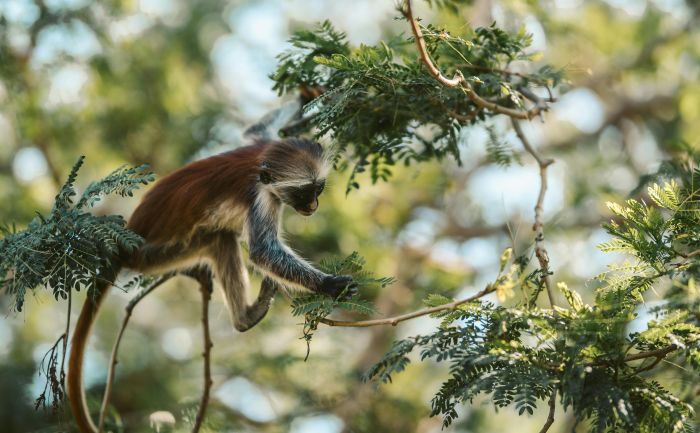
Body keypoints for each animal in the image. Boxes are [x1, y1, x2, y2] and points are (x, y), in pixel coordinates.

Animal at [67, 104, 354, 433]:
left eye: (319, 188)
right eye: (304, 193)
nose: (313, 206)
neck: (259, 165)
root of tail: (124, 245)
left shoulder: (262, 145)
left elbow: (255, 129)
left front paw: (302, 102)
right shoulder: (261, 195)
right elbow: (262, 252)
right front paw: (330, 285)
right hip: (158, 254)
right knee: (222, 238)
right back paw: (245, 318)